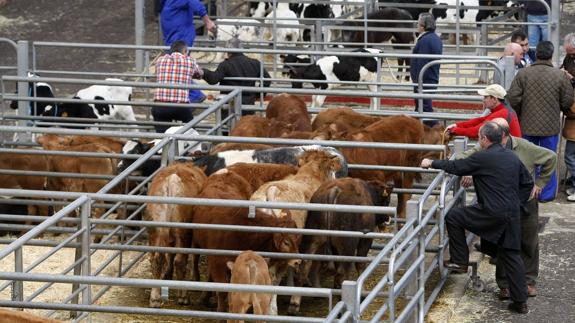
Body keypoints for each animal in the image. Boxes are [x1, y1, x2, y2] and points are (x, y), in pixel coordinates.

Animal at [145, 162, 208, 308]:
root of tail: (172, 179)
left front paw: (167, 273)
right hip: (183, 232)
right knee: (180, 261)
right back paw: (183, 296)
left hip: (156, 231)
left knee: (157, 259)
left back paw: (155, 298)